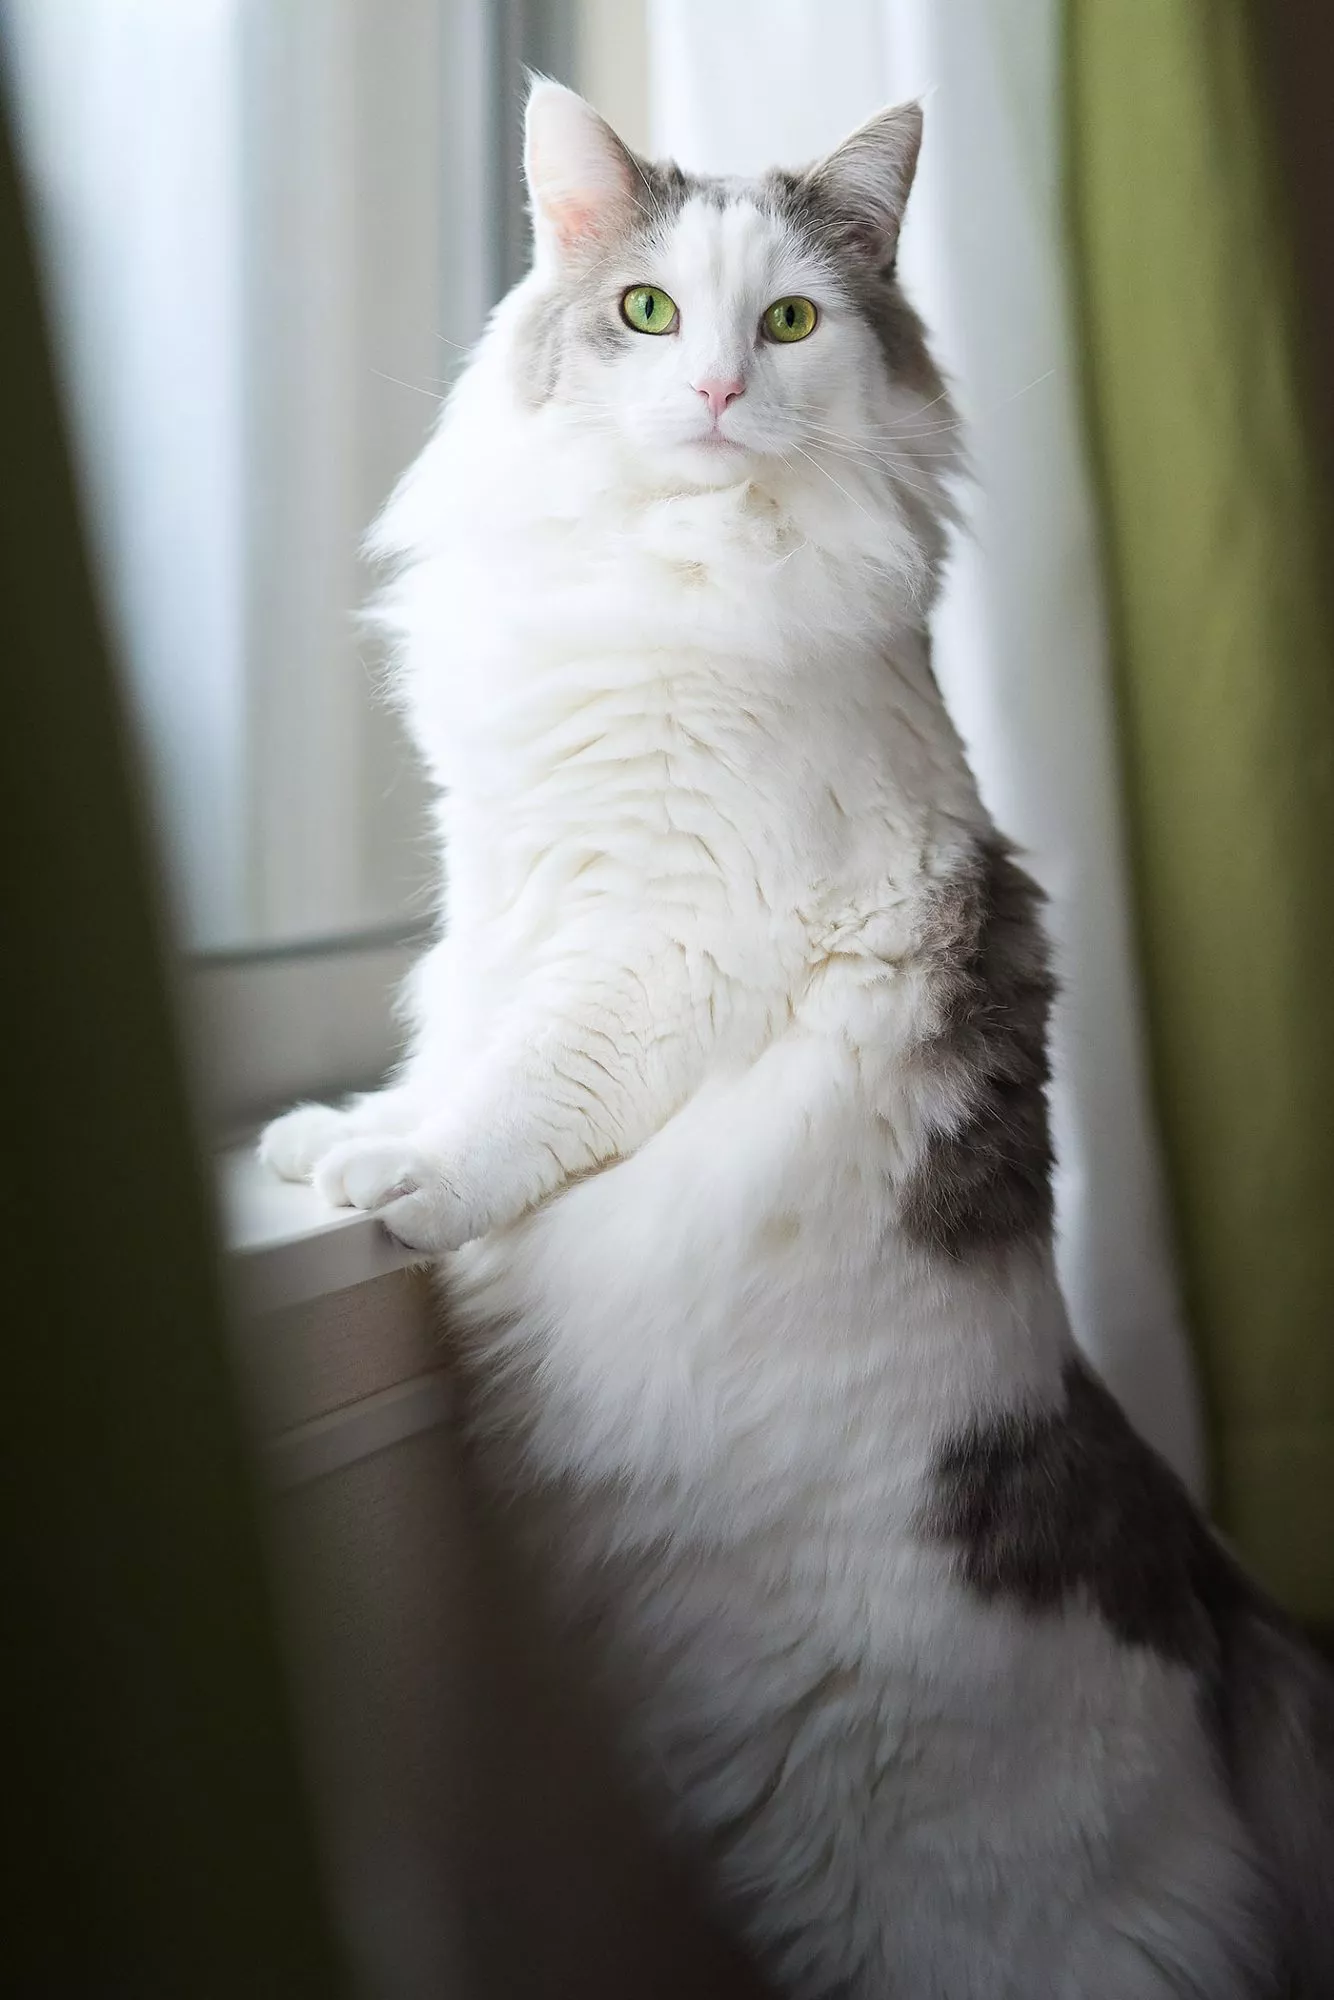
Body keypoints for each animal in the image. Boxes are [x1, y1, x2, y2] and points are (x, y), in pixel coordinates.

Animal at [260, 82, 1334, 2000]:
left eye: (784, 322)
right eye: (643, 313)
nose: (709, 391)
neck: (665, 581)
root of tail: (1209, 1609)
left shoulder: (672, 940)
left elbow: (520, 1092)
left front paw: (410, 1177)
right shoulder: (507, 885)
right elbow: (457, 1029)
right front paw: (334, 1134)